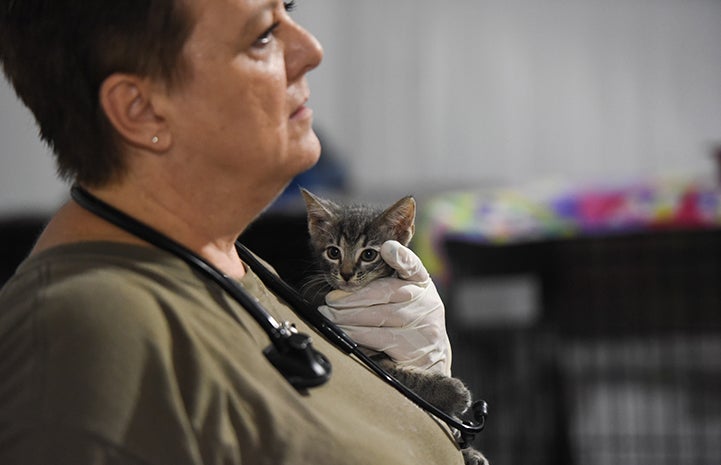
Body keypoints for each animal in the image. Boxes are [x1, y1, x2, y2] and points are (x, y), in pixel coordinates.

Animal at [300, 188, 486, 464]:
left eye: (369, 254)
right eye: (333, 252)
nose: (346, 273)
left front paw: (470, 451)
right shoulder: (369, 356)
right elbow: (406, 377)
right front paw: (453, 392)